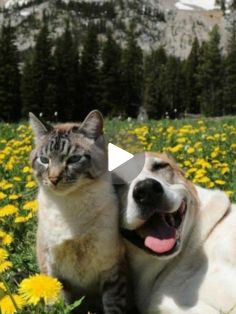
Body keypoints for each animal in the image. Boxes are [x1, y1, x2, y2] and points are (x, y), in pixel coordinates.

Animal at [30, 111, 129, 314]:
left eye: (74, 159)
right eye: (44, 160)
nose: (54, 178)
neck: (69, 205)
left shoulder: (112, 267)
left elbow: (113, 305)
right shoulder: (52, 268)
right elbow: (57, 304)